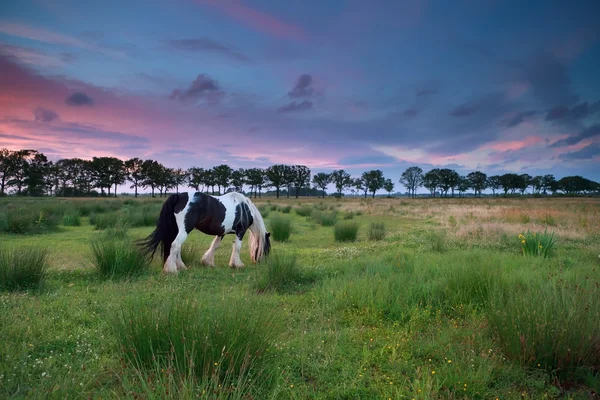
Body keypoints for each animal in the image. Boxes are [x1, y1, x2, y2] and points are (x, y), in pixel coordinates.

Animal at [138, 190, 270, 272]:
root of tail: (179, 196)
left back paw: (181, 266)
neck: (245, 208)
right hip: (185, 229)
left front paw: (207, 262)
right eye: (267, 248)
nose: (262, 262)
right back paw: (172, 269)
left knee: (176, 246)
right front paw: (237, 264)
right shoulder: (240, 231)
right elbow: (237, 247)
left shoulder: (221, 233)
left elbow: (215, 246)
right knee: (175, 245)